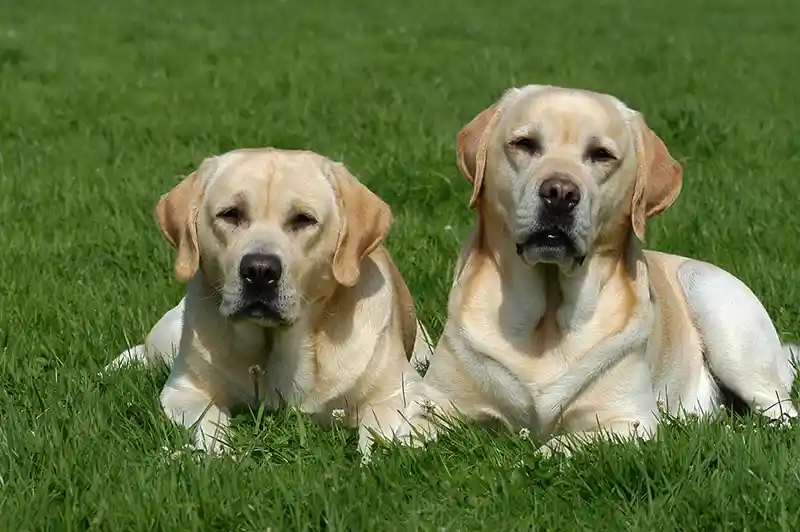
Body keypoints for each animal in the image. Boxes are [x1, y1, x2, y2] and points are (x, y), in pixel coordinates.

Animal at [107, 148, 434, 456]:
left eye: (303, 219)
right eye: (231, 214)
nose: (260, 271)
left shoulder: (400, 392)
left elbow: (379, 428)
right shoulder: (184, 390)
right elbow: (210, 420)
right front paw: (213, 452)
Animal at [400, 85, 800, 456]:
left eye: (601, 155)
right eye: (525, 144)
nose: (559, 192)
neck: (546, 319)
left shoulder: (629, 421)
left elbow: (558, 445)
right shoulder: (433, 401)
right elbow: (404, 431)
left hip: (714, 303)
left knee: (781, 413)